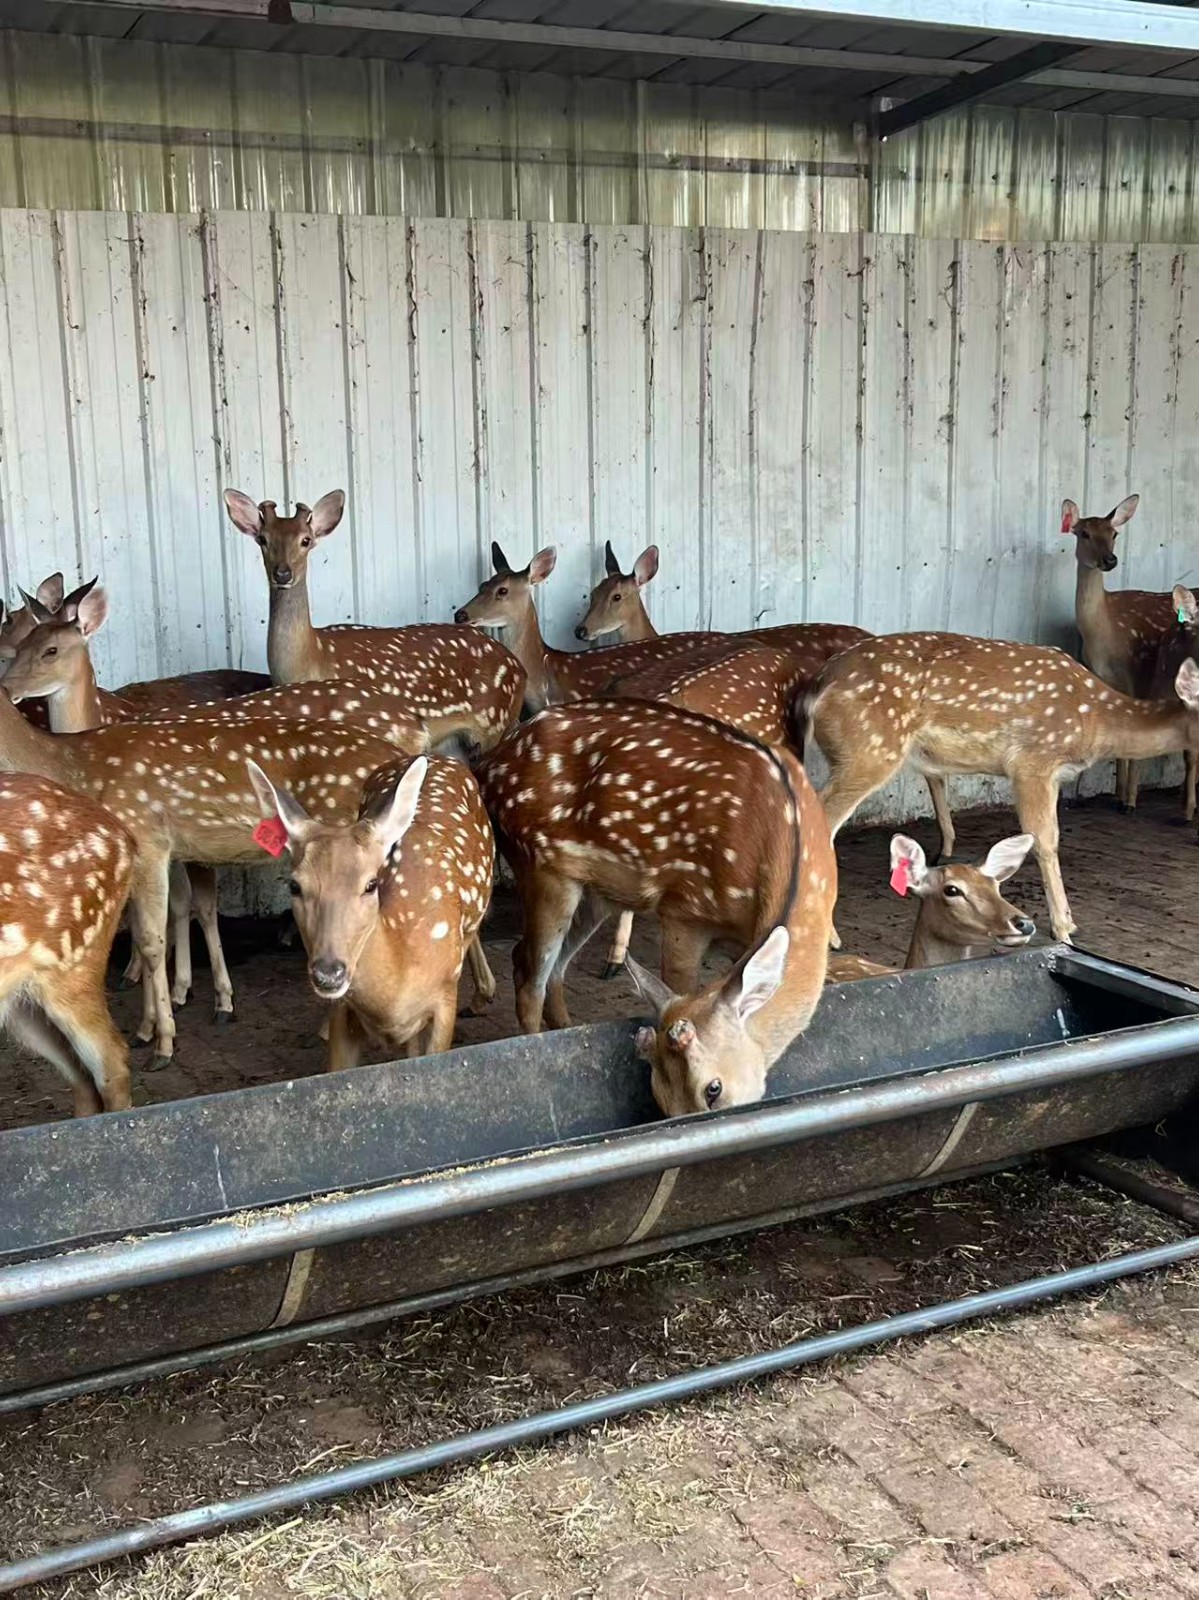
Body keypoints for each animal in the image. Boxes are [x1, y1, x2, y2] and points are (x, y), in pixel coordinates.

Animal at [224, 489, 524, 753]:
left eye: (305, 540)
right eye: (262, 539)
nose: (283, 573)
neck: (311, 657)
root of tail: (519, 668)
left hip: (493, 723)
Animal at [477, 699, 837, 1114]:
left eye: (713, 1089)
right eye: (662, 1099)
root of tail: (487, 766)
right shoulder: (685, 908)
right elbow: (679, 983)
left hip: (595, 888)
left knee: (554, 968)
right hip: (541, 863)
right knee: (527, 972)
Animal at [800, 631, 1199, 944]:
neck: (1096, 720)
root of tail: (821, 683)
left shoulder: (1052, 774)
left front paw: (1070, 923)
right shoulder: (1032, 762)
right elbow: (1045, 840)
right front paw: (1063, 929)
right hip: (870, 748)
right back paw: (831, 937)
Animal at [1061, 494, 1181, 812]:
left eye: (1114, 534)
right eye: (1084, 533)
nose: (1110, 560)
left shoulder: (1141, 676)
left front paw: (1129, 801)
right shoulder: (1103, 677)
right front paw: (1118, 793)